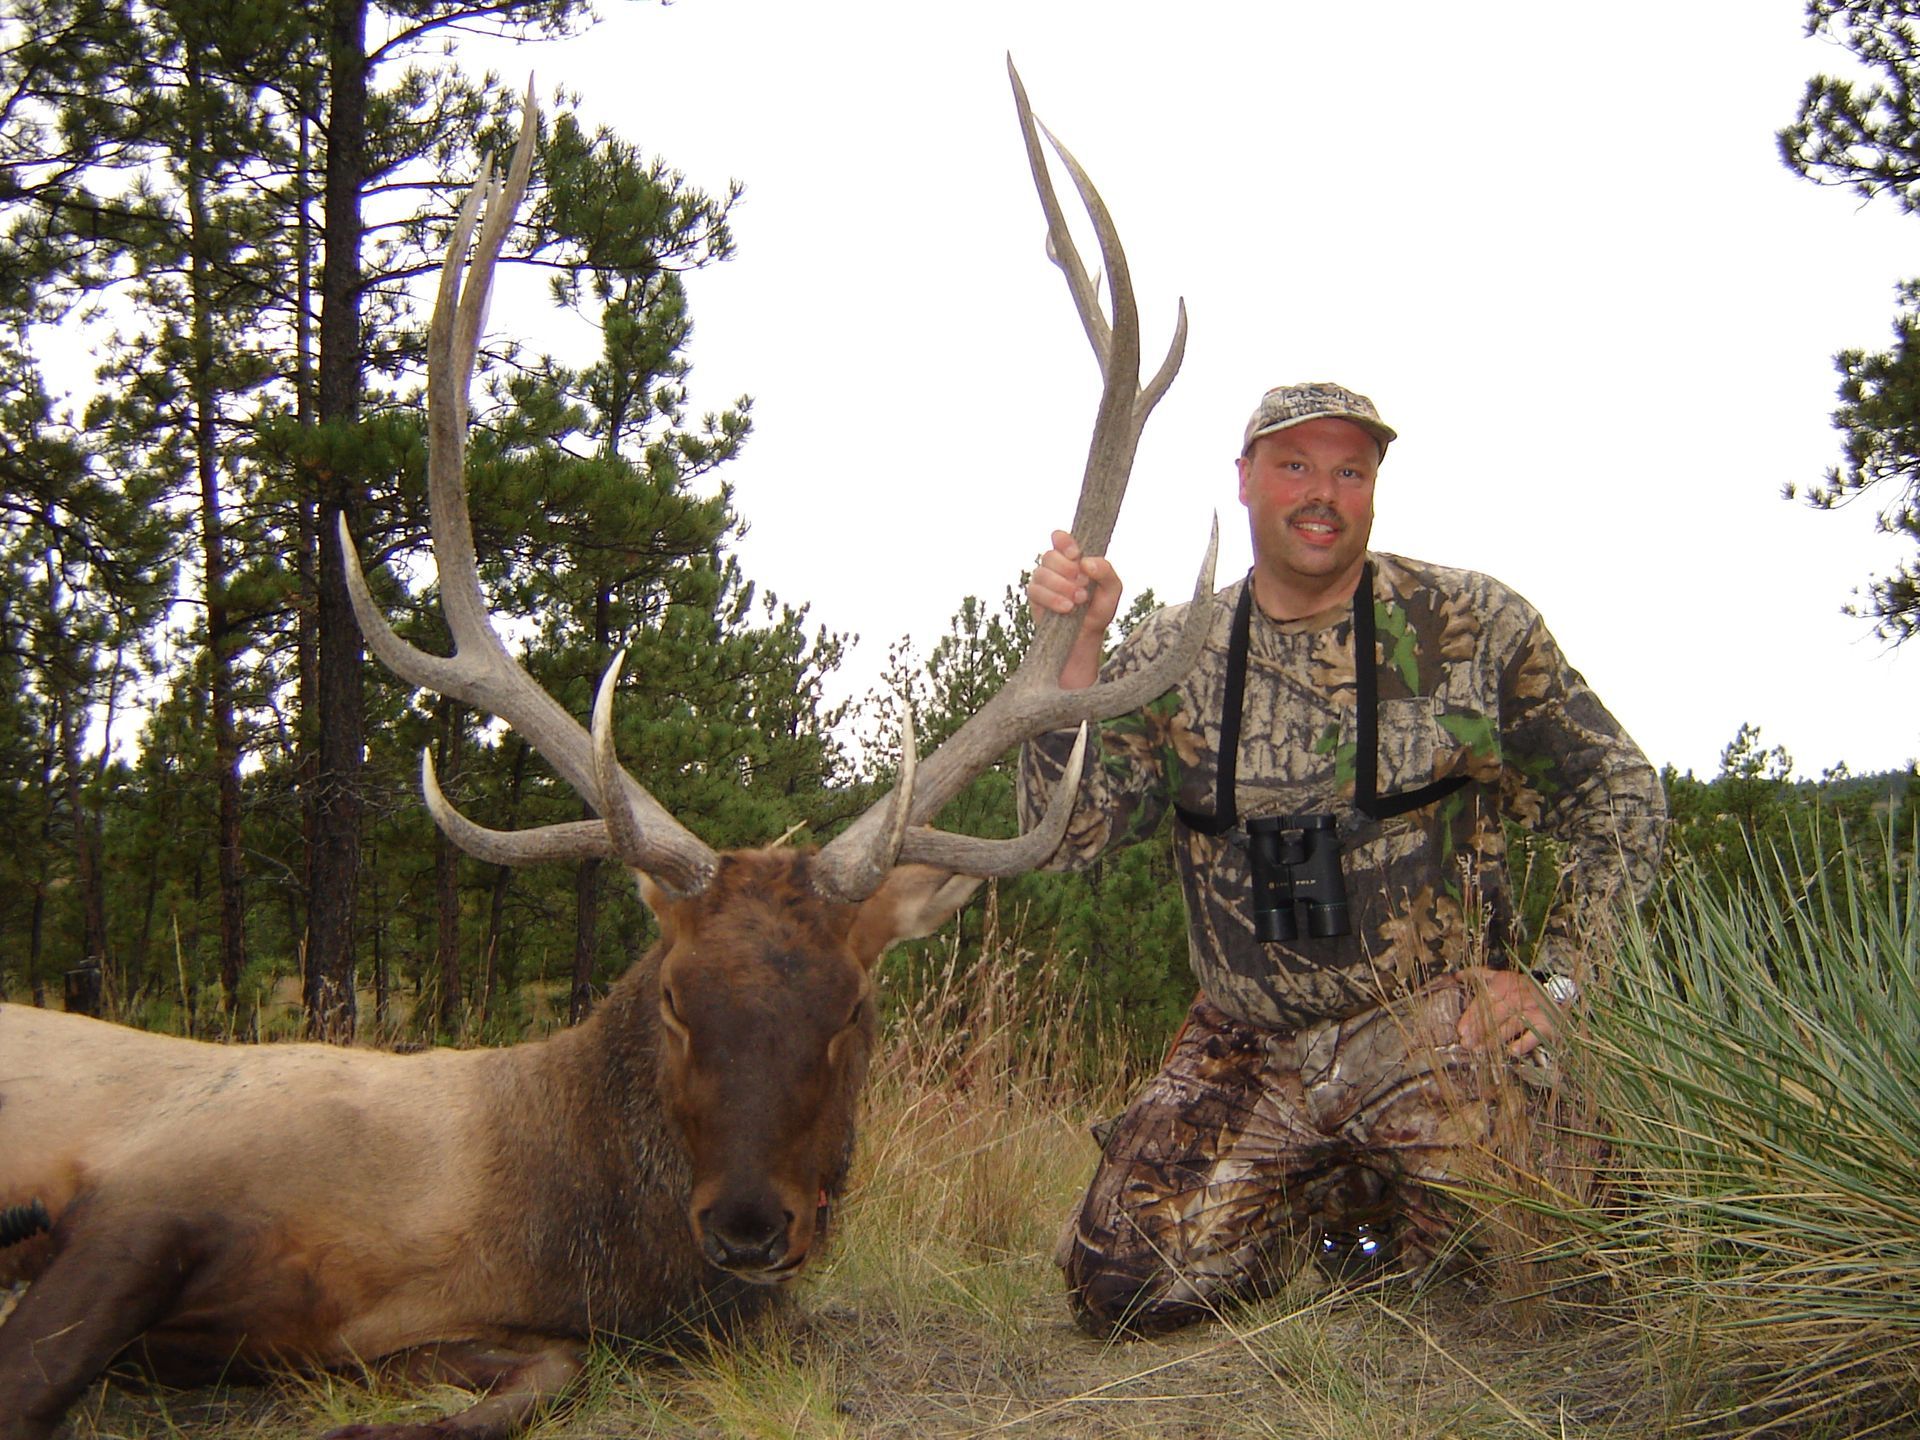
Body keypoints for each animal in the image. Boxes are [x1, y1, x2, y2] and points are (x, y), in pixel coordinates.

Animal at [0, 62, 1216, 1440]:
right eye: (676, 997)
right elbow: (34, 1370)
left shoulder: (413, 1329)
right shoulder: (160, 1183)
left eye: (853, 1006)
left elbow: (537, 1375)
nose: (747, 1227)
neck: (507, 1224)